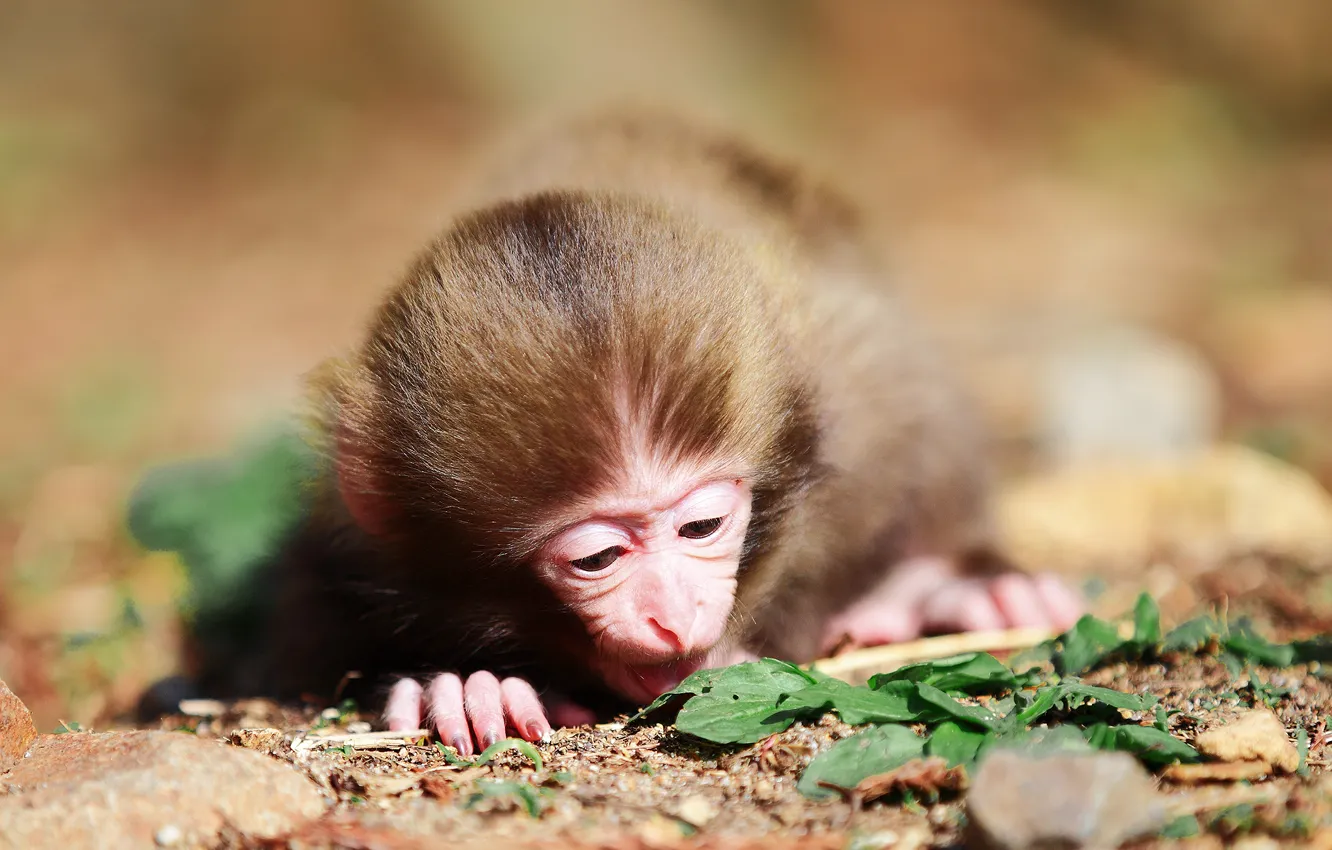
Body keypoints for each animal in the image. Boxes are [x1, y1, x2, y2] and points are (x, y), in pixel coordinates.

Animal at [262, 109, 1081, 756]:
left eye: (703, 527)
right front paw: (468, 685)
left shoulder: (860, 389)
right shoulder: (347, 532)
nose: (674, 614)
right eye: (597, 559)